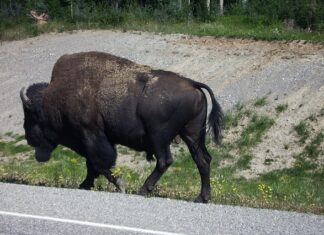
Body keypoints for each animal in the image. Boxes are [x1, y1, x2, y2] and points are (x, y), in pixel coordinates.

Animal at [20, 51, 223, 202]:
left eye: (31, 117)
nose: (29, 138)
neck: (54, 99)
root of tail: (192, 84)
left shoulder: (91, 135)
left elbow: (99, 163)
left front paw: (119, 184)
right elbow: (93, 165)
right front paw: (85, 185)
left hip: (159, 137)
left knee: (165, 161)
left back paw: (143, 189)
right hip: (192, 134)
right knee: (202, 160)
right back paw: (202, 198)